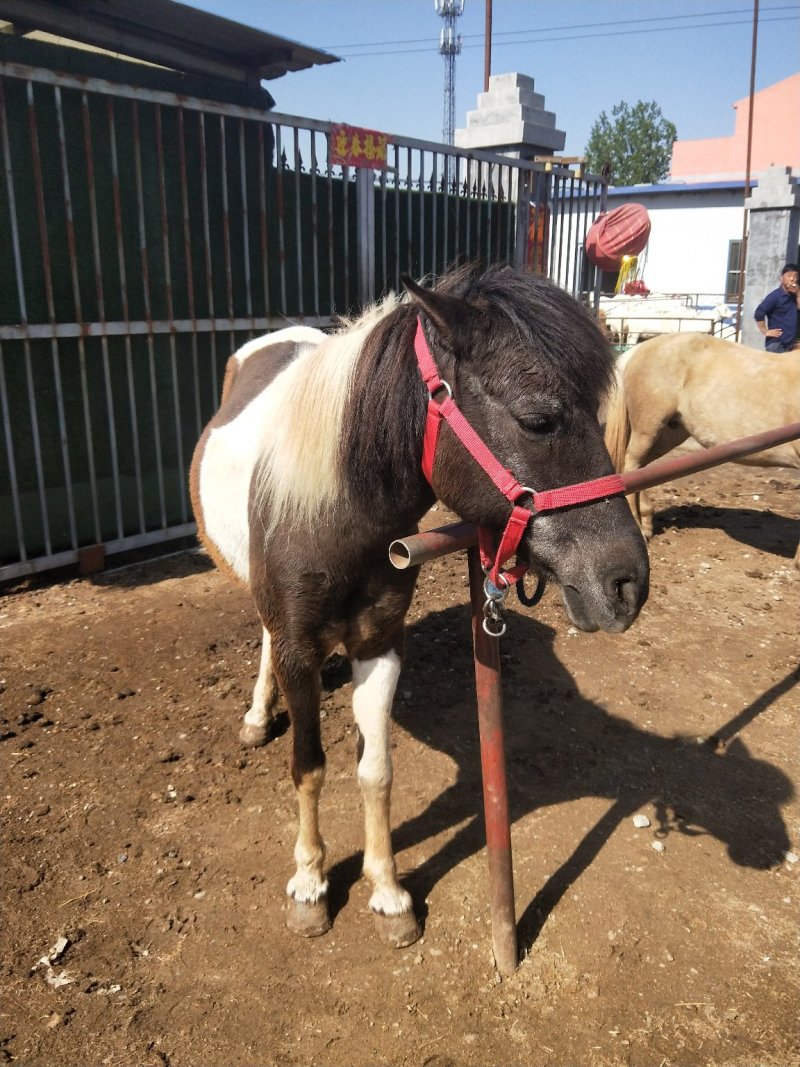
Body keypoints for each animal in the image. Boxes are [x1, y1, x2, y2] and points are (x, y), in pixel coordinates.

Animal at [190, 263, 650, 949]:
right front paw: (310, 886)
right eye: (538, 420)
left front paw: (388, 893)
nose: (628, 584)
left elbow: (375, 771)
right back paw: (256, 716)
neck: (333, 513)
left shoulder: (381, 643)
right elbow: (309, 767)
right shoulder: (301, 648)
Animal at [604, 333, 800, 566]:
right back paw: (641, 530)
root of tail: (641, 348)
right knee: (632, 465)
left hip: (670, 432)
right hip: (649, 426)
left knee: (643, 469)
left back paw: (647, 522)